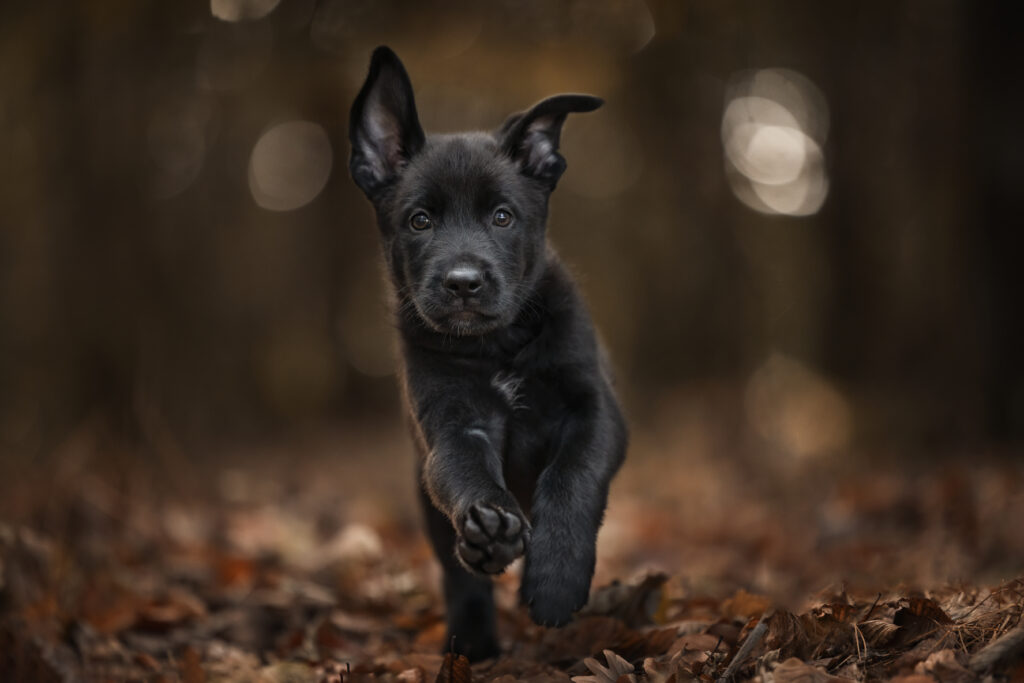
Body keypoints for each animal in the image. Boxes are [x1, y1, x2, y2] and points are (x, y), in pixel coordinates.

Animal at [348, 48, 626, 663]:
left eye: (502, 216)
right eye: (420, 220)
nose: (463, 283)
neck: (499, 346)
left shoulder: (595, 412)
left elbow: (572, 476)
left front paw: (556, 582)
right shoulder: (455, 424)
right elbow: (468, 472)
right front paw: (494, 531)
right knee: (459, 575)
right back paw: (471, 640)